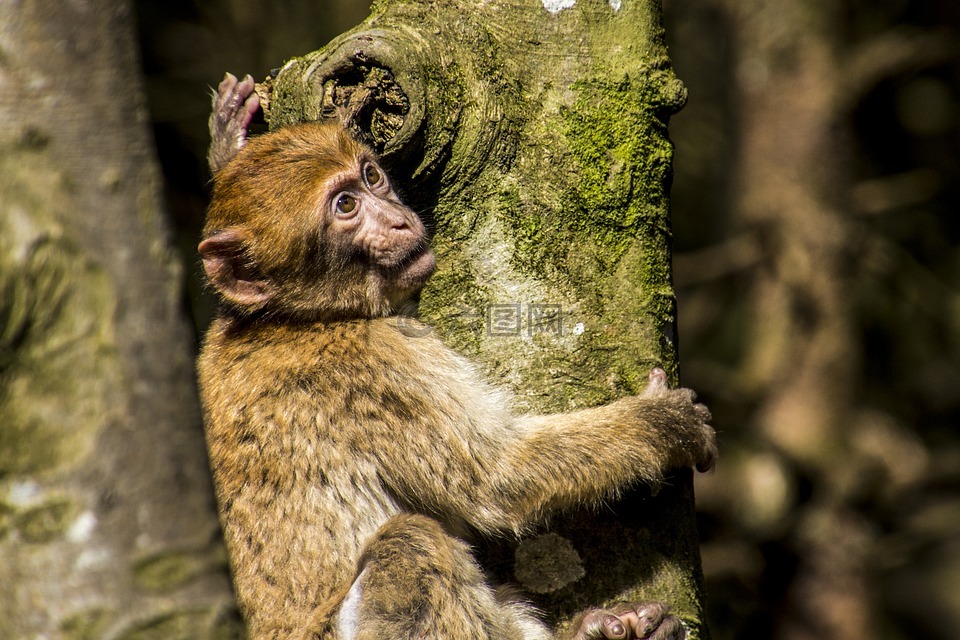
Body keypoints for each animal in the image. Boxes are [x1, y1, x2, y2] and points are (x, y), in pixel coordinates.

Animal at [198, 74, 717, 640]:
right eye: (345, 206)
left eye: (372, 176)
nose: (399, 222)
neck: (290, 316)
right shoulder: (378, 362)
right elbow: (499, 479)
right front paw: (662, 424)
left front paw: (227, 144)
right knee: (409, 543)